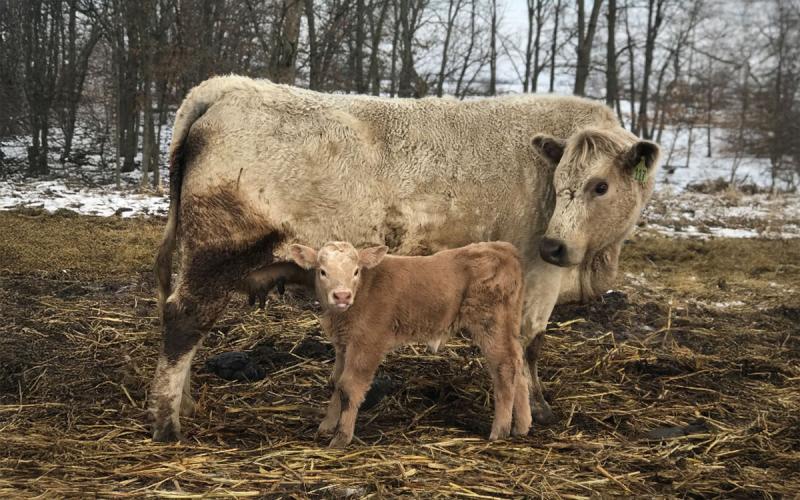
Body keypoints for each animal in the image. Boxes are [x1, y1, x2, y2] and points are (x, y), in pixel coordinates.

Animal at [288, 241, 530, 447]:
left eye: (356, 271)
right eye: (322, 271)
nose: (342, 296)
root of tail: (502, 248)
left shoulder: (367, 343)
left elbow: (349, 386)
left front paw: (341, 437)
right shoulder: (343, 345)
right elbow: (336, 382)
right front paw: (326, 425)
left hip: (490, 323)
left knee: (505, 367)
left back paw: (500, 430)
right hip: (508, 325)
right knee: (519, 362)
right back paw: (522, 426)